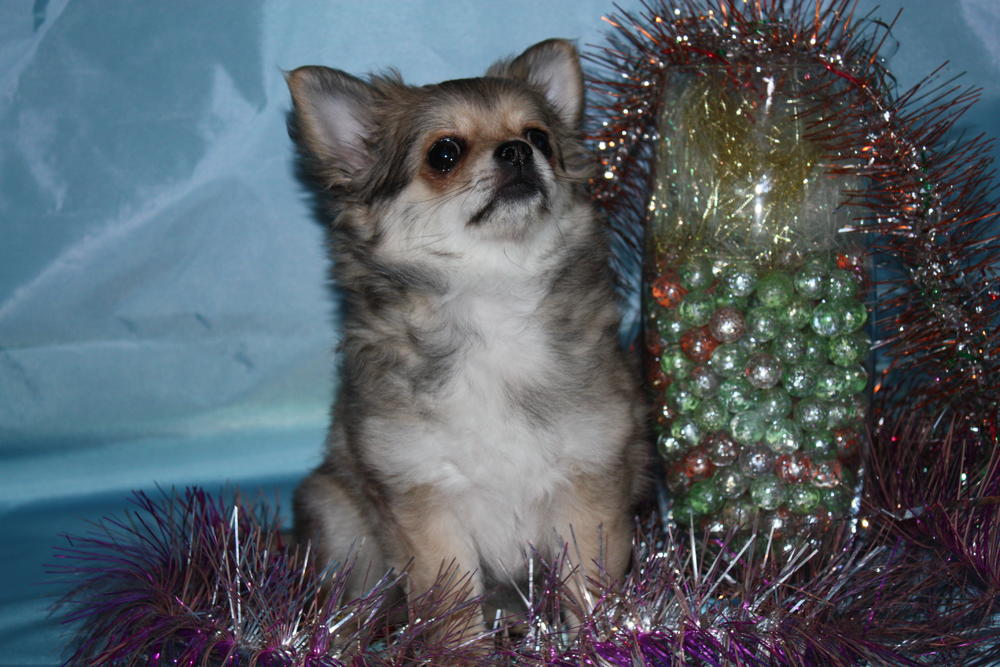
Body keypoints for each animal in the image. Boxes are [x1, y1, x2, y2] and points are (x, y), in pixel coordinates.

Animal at [285, 38, 648, 641]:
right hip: (340, 519)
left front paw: (600, 646)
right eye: (445, 153)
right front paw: (463, 650)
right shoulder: (424, 497)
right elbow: (450, 607)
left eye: (539, 137)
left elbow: (589, 590)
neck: (492, 301)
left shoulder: (589, 482)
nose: (518, 152)